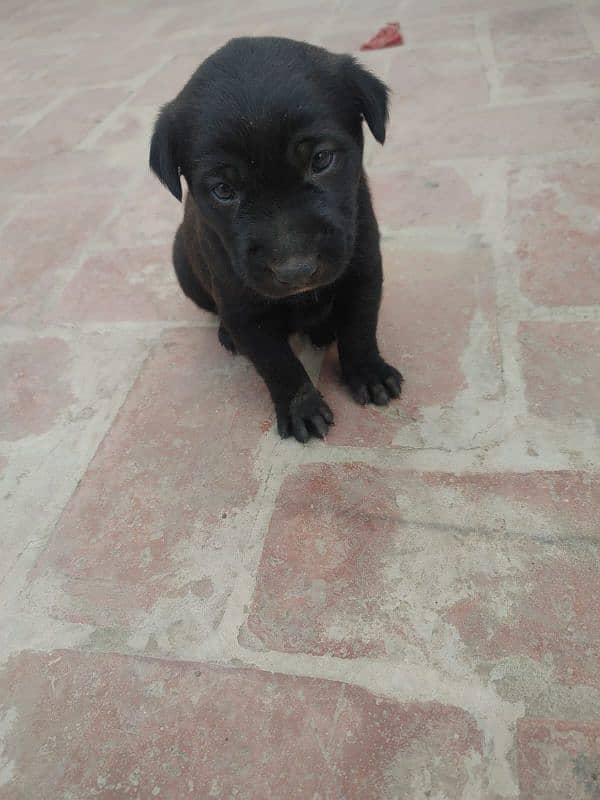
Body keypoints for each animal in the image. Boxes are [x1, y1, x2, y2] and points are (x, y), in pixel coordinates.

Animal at [150, 36, 404, 444]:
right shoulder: (242, 305)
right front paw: (302, 408)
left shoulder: (363, 266)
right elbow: (277, 363)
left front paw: (369, 372)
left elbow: (360, 326)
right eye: (223, 190)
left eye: (321, 159)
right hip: (183, 266)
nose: (297, 270)